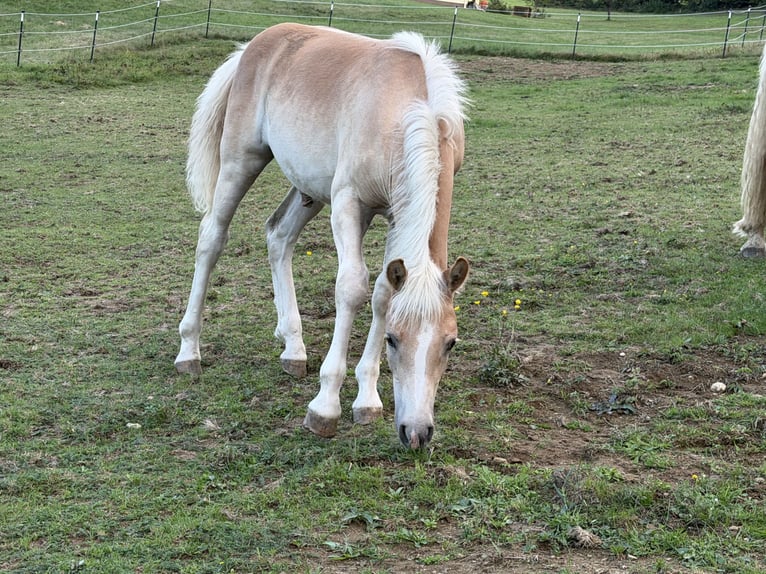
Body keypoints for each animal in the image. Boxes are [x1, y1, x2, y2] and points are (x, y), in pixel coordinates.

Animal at [174, 23, 470, 449]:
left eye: (450, 343)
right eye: (393, 339)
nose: (416, 432)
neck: (406, 110)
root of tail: (253, 46)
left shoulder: (395, 215)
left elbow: (383, 293)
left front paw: (367, 400)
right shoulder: (350, 203)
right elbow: (352, 287)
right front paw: (325, 406)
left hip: (308, 188)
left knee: (279, 236)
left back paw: (293, 348)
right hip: (241, 161)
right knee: (212, 237)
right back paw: (189, 351)